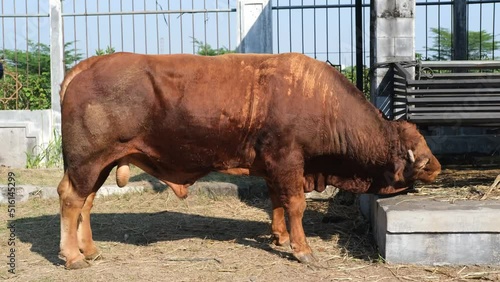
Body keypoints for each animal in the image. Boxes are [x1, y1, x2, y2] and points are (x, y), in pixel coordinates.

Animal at [59, 52, 442, 268]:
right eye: (415, 152)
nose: (436, 166)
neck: (319, 98)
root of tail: (85, 68)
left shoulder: (274, 168)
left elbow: (277, 203)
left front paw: (280, 237)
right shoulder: (289, 161)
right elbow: (296, 204)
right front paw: (302, 250)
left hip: (99, 165)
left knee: (86, 204)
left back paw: (90, 250)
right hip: (87, 163)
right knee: (71, 199)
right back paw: (73, 257)